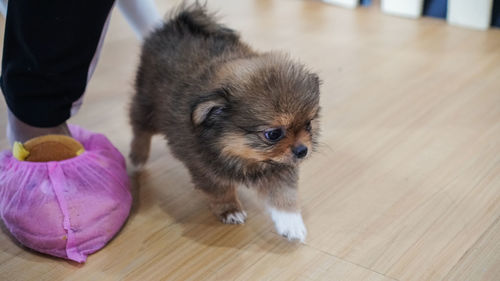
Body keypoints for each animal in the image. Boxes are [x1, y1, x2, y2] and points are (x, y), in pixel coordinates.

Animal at [129, 3, 320, 242]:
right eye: (273, 134)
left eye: (309, 125)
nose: (303, 150)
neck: (241, 155)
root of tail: (176, 24)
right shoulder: (205, 168)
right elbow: (220, 191)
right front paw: (231, 210)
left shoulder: (279, 167)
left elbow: (284, 195)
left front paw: (292, 223)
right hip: (147, 105)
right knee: (139, 129)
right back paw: (136, 159)